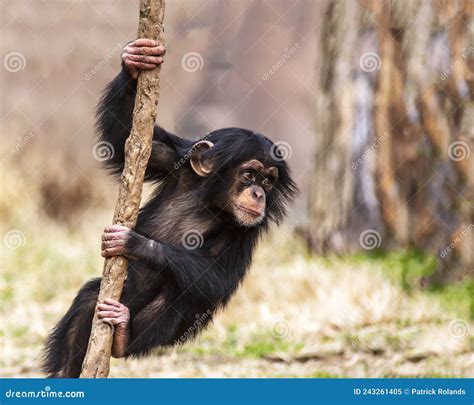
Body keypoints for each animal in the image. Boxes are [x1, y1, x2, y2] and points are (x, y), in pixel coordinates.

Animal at [43, 39, 296, 378]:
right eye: (249, 175)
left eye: (269, 181)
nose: (258, 193)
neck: (209, 199)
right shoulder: (174, 160)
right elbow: (127, 141)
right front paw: (134, 61)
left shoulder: (243, 231)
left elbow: (218, 276)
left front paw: (134, 243)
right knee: (88, 301)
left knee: (182, 297)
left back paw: (123, 336)